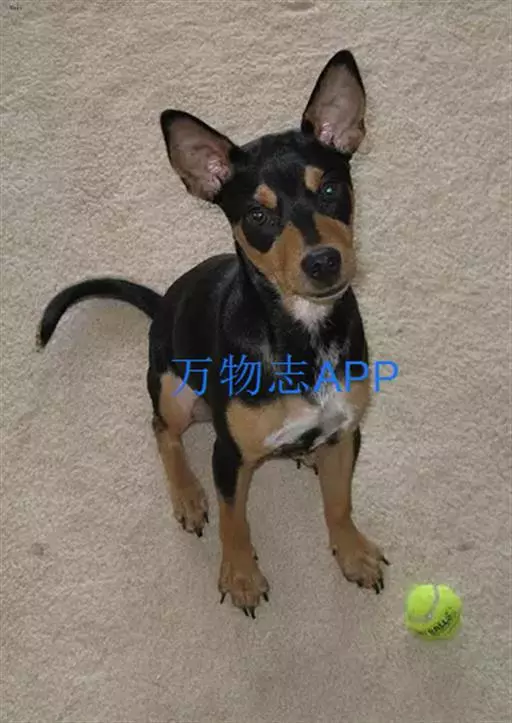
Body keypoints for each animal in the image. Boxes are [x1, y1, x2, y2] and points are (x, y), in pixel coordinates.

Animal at [38, 50, 388, 618]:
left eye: (332, 189)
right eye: (258, 214)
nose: (323, 262)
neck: (300, 335)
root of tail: (161, 304)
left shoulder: (345, 433)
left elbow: (339, 503)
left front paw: (352, 552)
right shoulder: (228, 456)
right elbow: (234, 520)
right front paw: (241, 575)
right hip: (175, 391)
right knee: (161, 430)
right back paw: (187, 495)